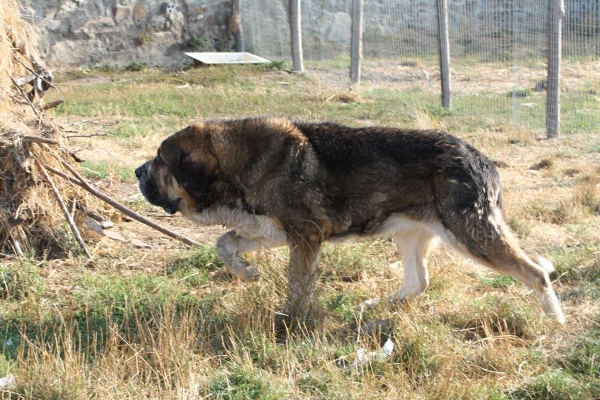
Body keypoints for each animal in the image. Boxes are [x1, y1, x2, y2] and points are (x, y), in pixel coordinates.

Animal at [136, 116, 568, 328]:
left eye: (160, 159)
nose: (137, 172)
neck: (239, 164)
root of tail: (481, 158)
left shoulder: (305, 237)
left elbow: (297, 286)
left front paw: (289, 320)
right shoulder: (272, 231)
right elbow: (224, 243)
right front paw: (248, 272)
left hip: (471, 236)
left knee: (535, 273)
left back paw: (554, 321)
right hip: (410, 234)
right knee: (417, 282)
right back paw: (372, 306)